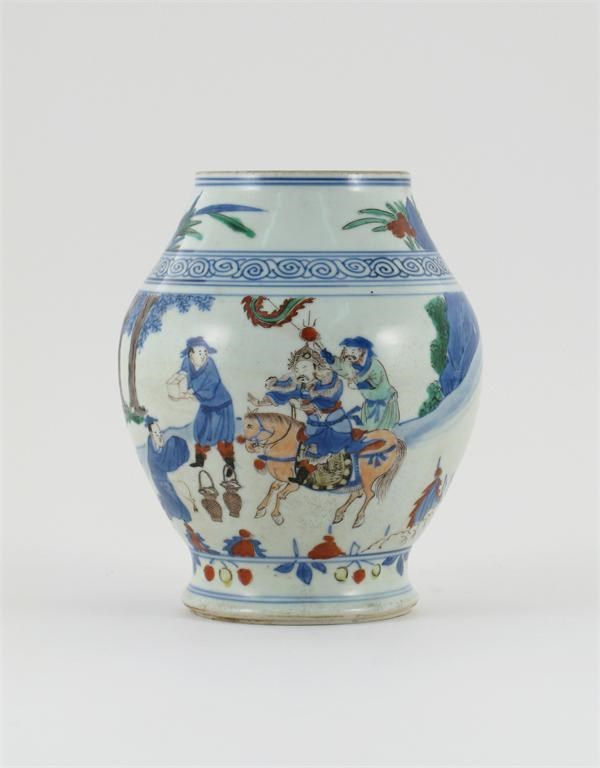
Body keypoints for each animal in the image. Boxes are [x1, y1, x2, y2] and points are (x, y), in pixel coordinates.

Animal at [241, 411, 407, 529]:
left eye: (249, 425)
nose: (248, 447)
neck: (288, 445)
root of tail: (392, 439)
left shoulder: (294, 483)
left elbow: (280, 495)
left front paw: (276, 516)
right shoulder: (281, 479)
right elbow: (272, 488)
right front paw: (260, 509)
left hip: (368, 478)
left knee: (369, 495)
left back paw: (358, 519)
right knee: (356, 493)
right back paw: (339, 514)